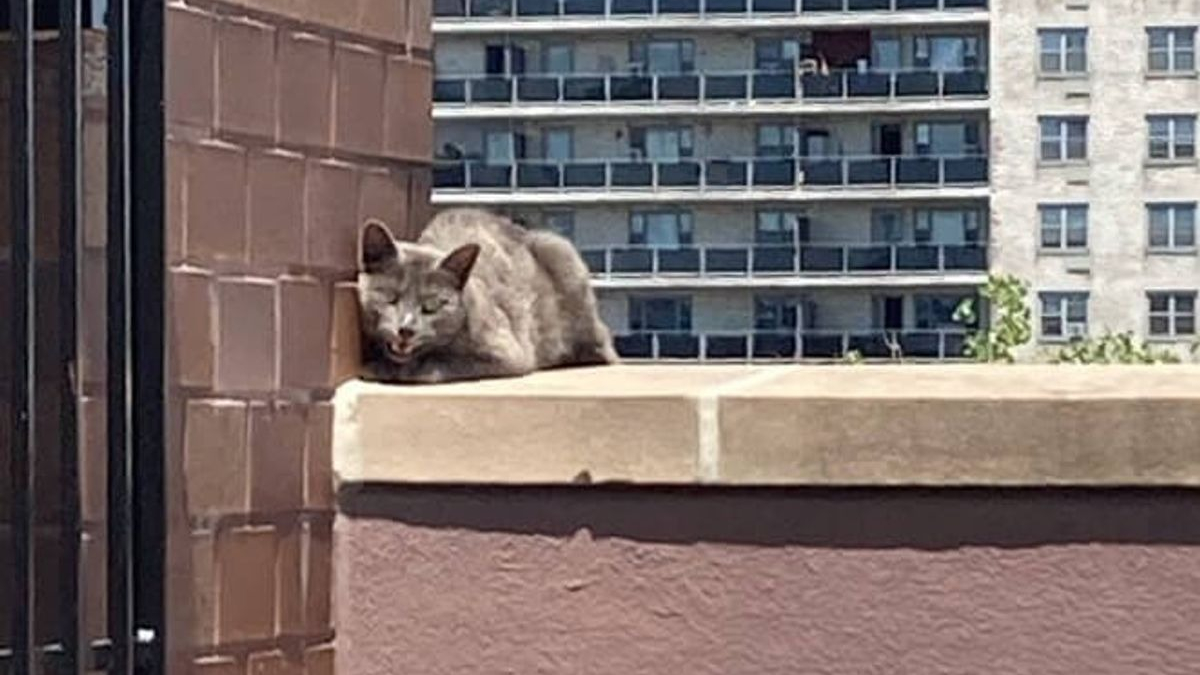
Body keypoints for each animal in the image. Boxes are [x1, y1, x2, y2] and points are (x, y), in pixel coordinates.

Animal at [355, 205, 619, 384]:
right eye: (389, 297)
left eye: (433, 306)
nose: (406, 329)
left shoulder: (509, 352)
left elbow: (437, 364)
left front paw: (386, 369)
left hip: (559, 250)